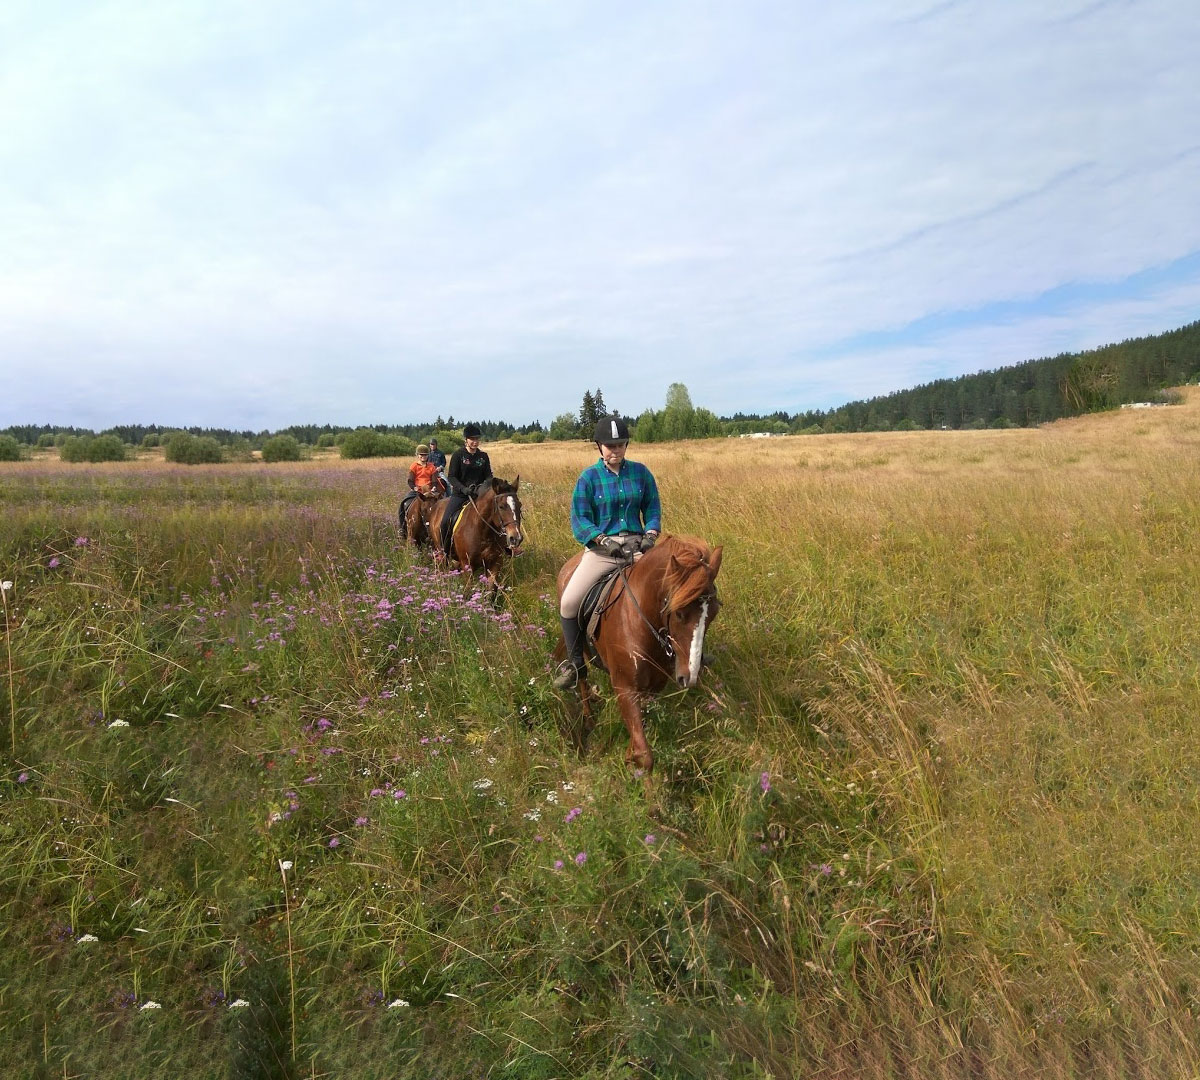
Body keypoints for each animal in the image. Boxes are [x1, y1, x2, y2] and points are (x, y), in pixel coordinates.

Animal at [554, 532, 720, 772]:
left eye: (714, 612)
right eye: (679, 613)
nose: (689, 676)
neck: (640, 621)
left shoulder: (653, 688)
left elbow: (641, 726)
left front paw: (628, 754)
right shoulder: (625, 688)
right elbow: (645, 755)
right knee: (582, 677)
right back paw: (588, 717)